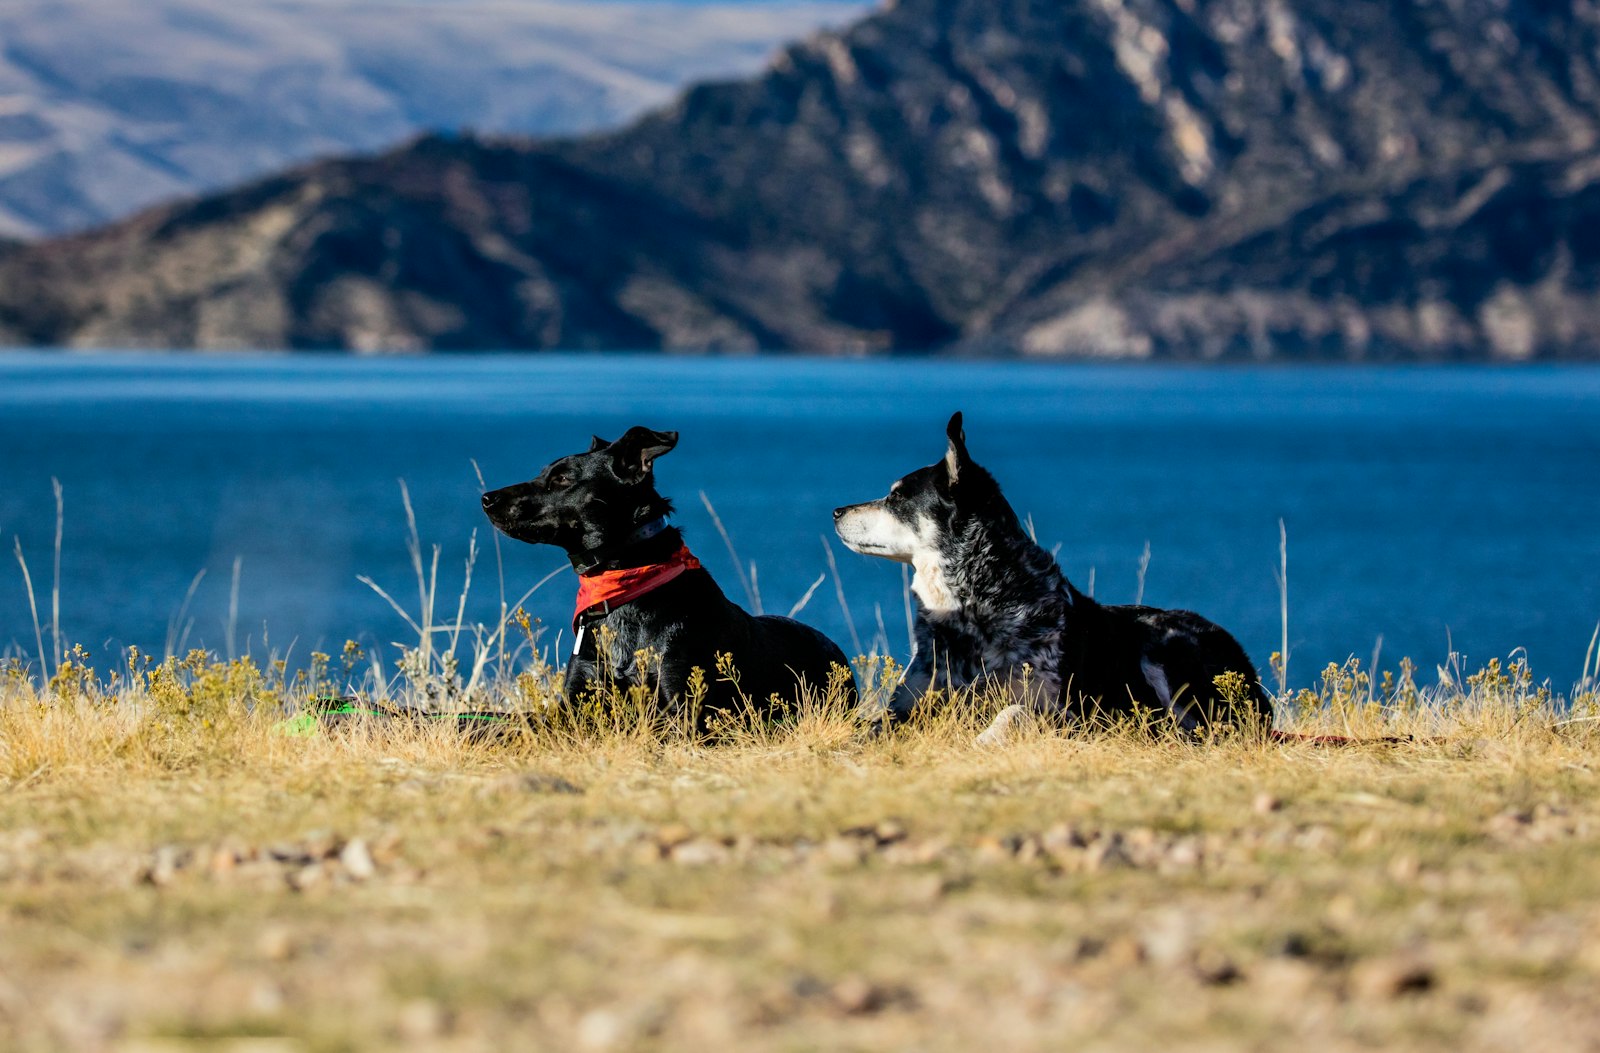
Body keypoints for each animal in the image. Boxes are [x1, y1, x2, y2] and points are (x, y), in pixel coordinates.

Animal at [838, 409, 1273, 739]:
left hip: (1166, 650)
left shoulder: (1062, 712)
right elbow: (870, 730)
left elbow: (1011, 713)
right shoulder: (905, 705)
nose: (836, 511)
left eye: (897, 497)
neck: (974, 612)